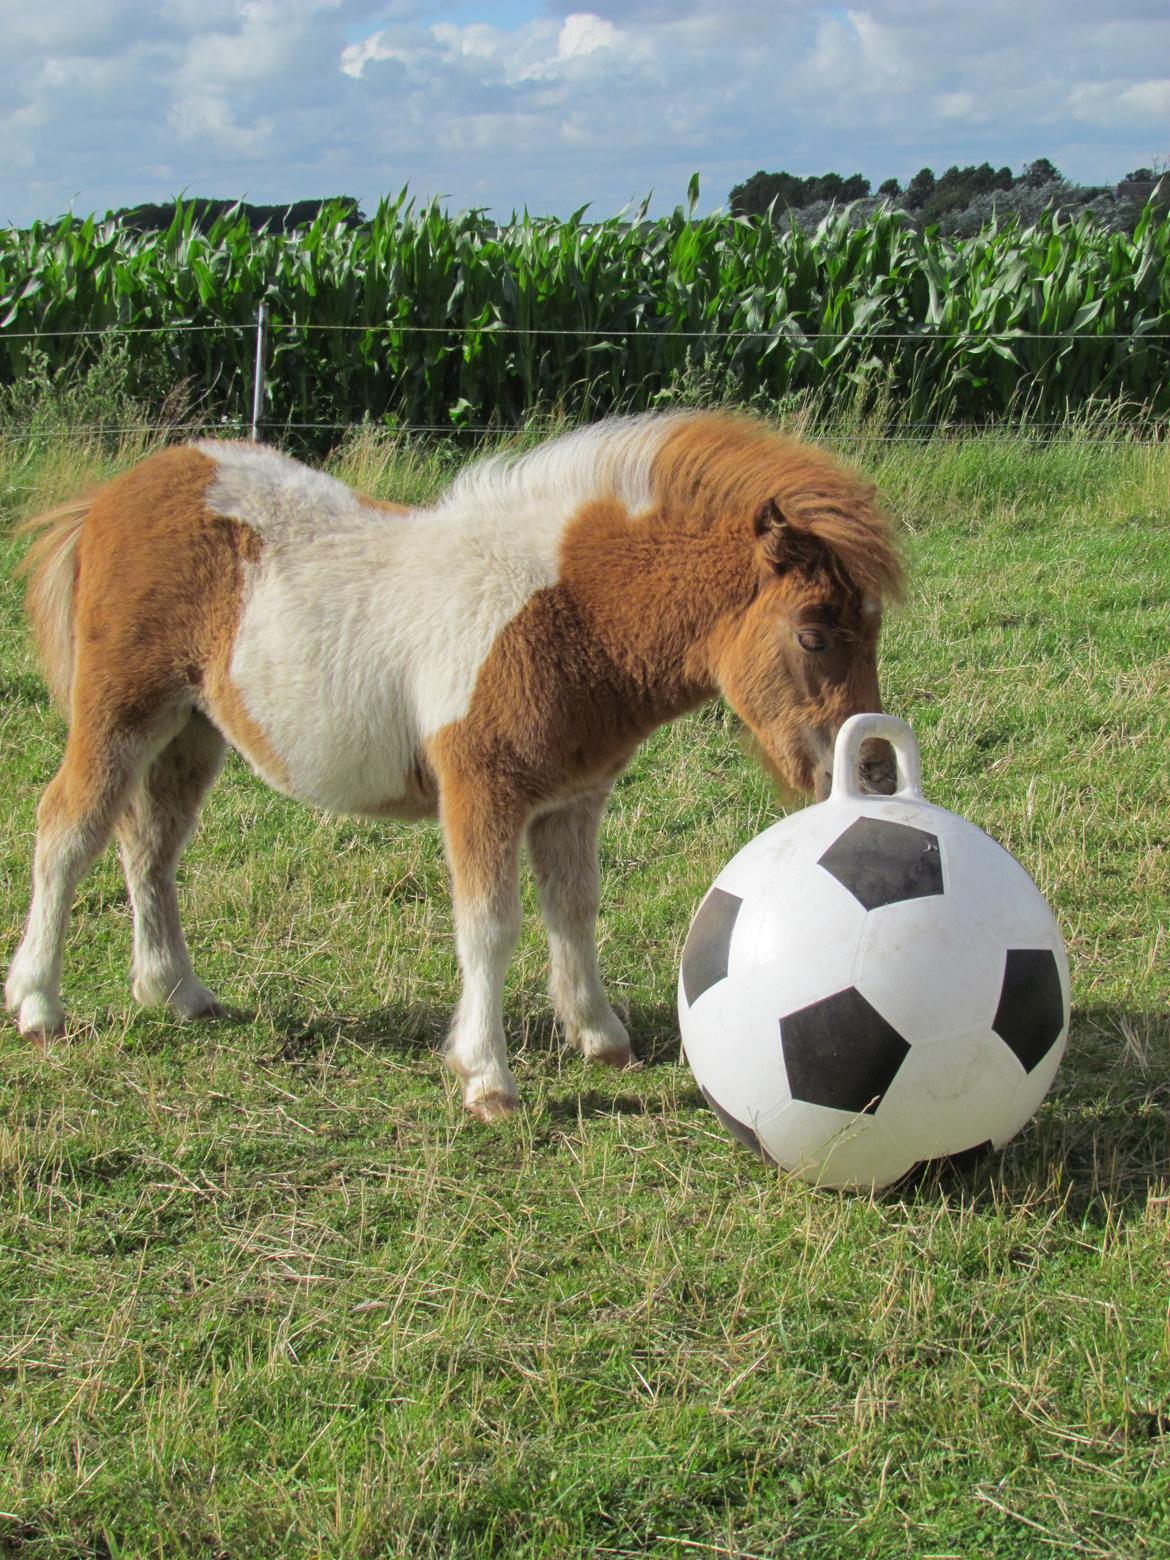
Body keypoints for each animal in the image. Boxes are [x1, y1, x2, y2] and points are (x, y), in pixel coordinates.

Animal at [4, 408, 904, 1116]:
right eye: (815, 635)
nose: (871, 773)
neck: (565, 612)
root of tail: (116, 492)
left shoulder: (571, 799)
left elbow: (573, 910)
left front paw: (601, 1038)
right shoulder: (481, 790)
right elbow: (490, 928)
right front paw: (488, 1080)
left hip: (192, 732)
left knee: (149, 847)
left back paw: (176, 993)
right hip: (122, 711)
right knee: (68, 830)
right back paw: (39, 1007)